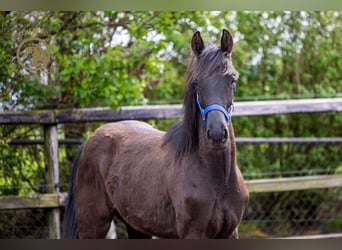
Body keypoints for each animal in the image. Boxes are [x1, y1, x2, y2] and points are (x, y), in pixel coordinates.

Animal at [62, 28, 248, 238]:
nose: (216, 134)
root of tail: (89, 141)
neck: (218, 180)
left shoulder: (230, 233)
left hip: (136, 226)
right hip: (93, 224)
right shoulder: (193, 233)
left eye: (232, 80)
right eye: (196, 83)